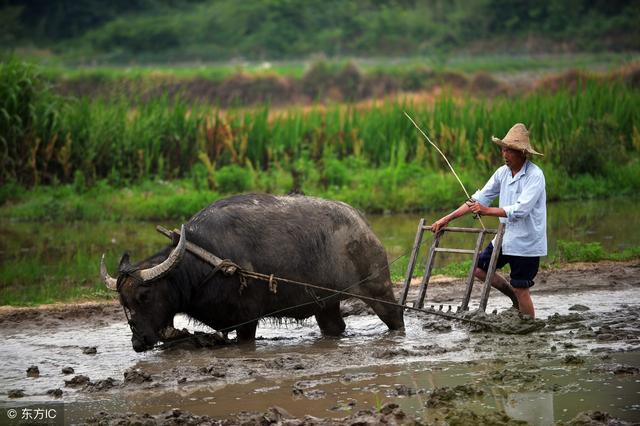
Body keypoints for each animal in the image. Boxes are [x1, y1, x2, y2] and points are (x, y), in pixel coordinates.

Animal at [100, 195, 404, 352]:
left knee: (396, 317)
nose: (138, 341)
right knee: (335, 327)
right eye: (123, 301)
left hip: (378, 289)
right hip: (326, 304)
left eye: (144, 296)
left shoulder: (246, 320)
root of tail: (363, 225)